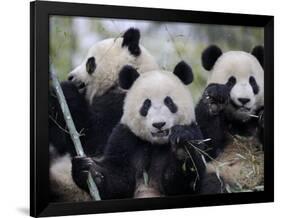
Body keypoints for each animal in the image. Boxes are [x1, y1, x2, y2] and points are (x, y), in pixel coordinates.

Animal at [71, 61, 222, 199]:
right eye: (146, 104)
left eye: (169, 102)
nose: (159, 124)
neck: (155, 143)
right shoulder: (125, 137)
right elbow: (118, 180)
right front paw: (87, 170)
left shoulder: (194, 131)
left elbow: (182, 185)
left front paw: (182, 148)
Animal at [195, 45, 262, 192]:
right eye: (231, 81)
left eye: (252, 82)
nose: (244, 100)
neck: (240, 121)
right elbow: (205, 148)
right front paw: (215, 99)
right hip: (220, 173)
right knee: (212, 182)